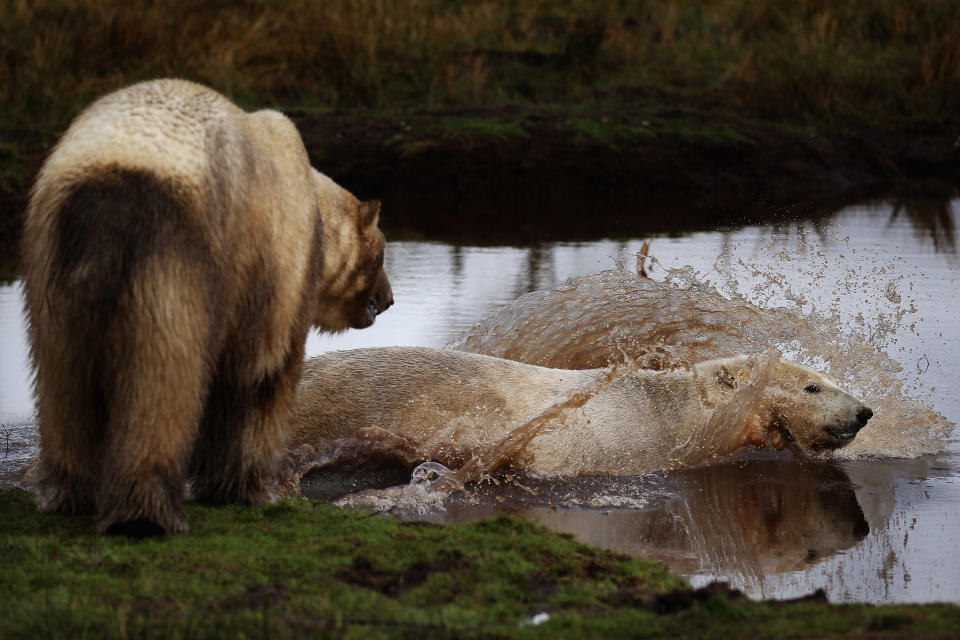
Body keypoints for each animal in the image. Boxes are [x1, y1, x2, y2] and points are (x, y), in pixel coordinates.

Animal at [22, 79, 392, 536]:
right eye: (380, 255)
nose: (389, 300)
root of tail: (104, 196)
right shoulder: (270, 267)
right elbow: (260, 376)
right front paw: (250, 490)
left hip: (51, 256)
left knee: (63, 379)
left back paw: (68, 494)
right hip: (177, 253)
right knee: (165, 378)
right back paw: (145, 514)